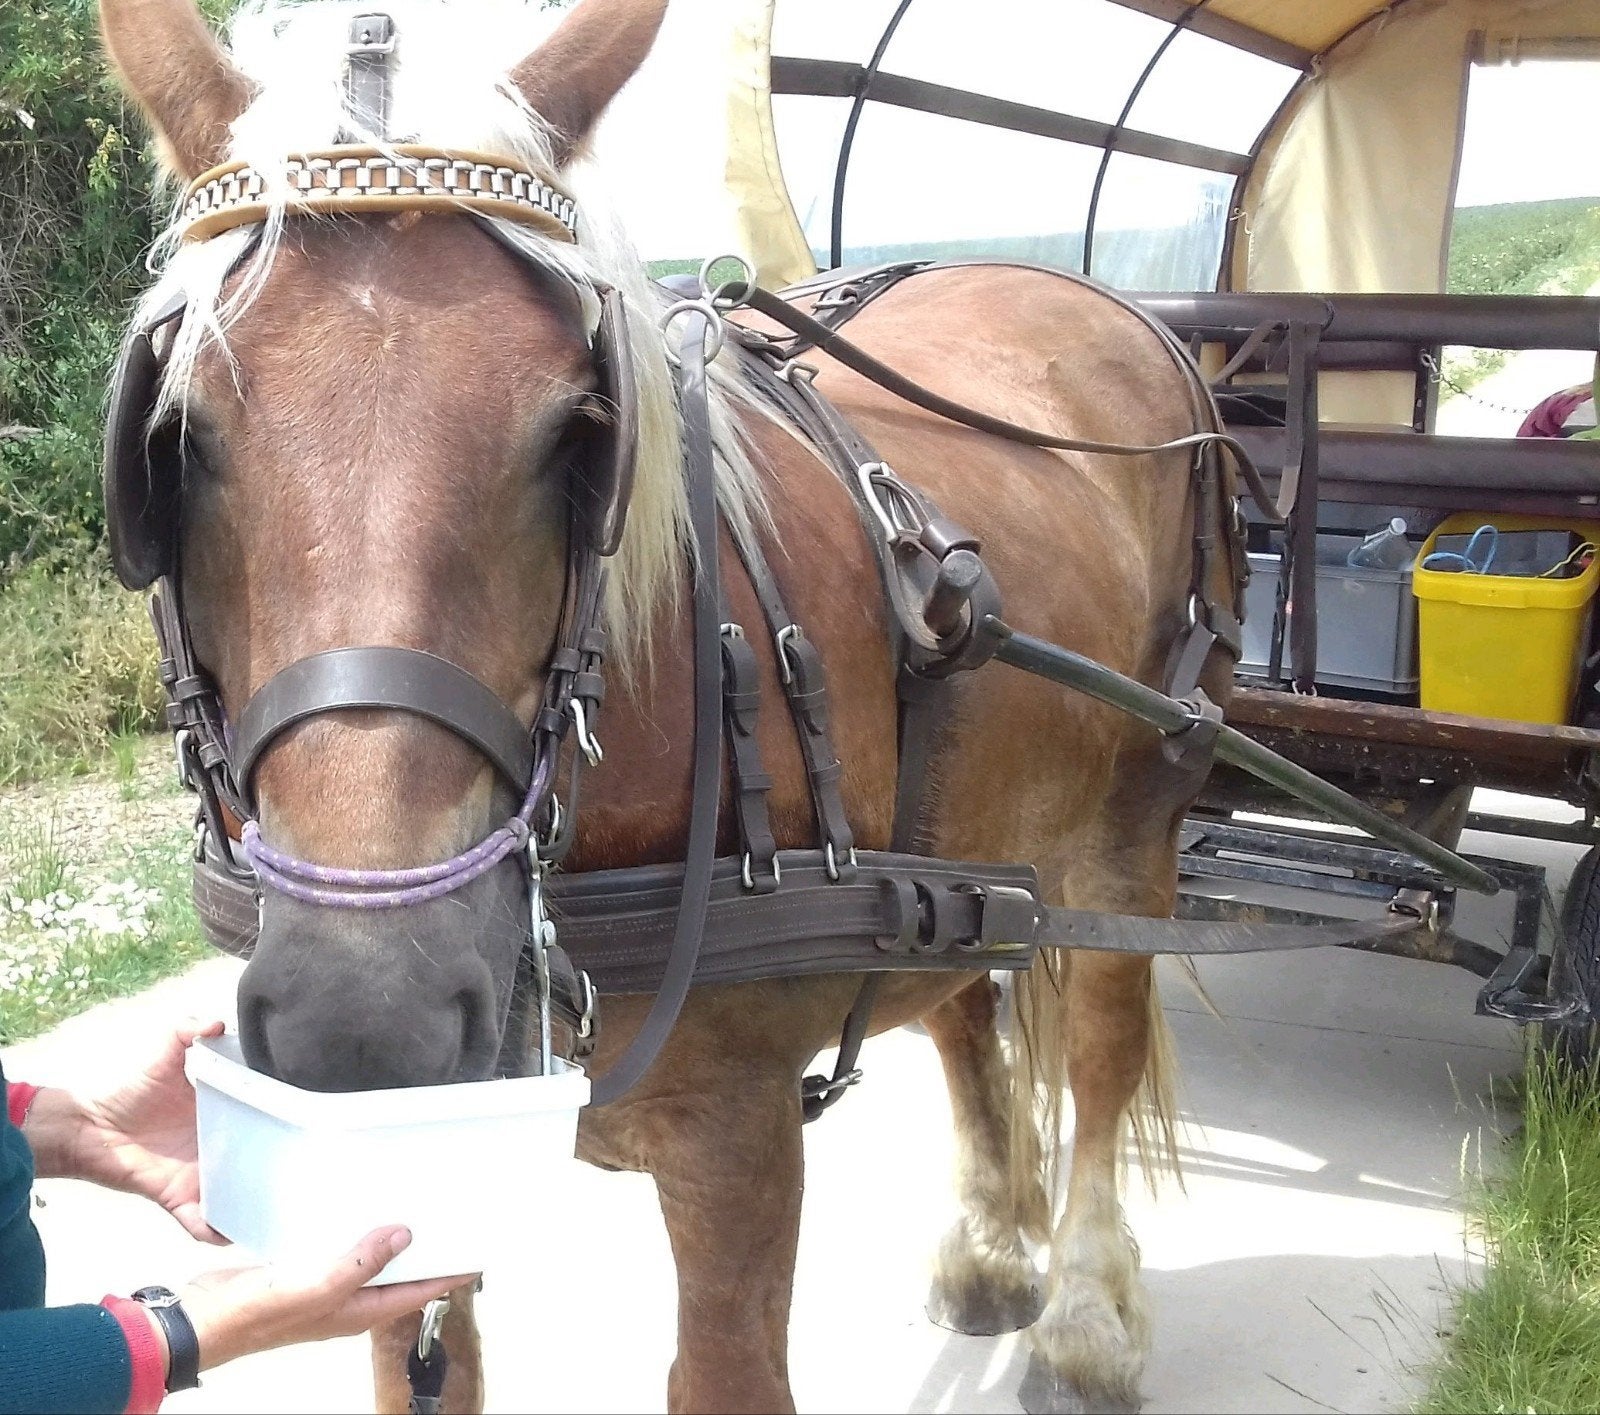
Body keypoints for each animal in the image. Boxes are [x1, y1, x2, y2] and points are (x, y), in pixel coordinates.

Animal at [99, 0, 1237, 1409]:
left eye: (577, 432)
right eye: (178, 438)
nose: (362, 1020)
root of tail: (1082, 296)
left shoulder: (736, 1135)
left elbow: (725, 1366)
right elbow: (426, 1363)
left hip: (1140, 809)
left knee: (1099, 1031)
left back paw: (1084, 1313)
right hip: (959, 846)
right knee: (967, 994)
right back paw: (988, 1247)